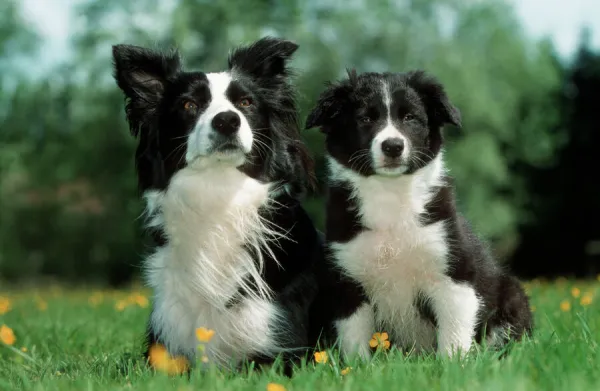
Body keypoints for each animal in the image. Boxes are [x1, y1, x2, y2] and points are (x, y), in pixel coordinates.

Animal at [113, 38, 324, 372]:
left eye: (246, 103)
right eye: (189, 105)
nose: (227, 120)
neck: (219, 191)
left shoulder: (284, 350)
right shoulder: (164, 347)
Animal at [308, 71, 532, 362]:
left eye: (410, 118)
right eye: (365, 119)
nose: (393, 146)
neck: (390, 195)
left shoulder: (454, 273)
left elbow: (454, 333)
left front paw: (453, 366)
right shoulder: (347, 279)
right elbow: (354, 339)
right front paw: (358, 367)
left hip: (511, 294)